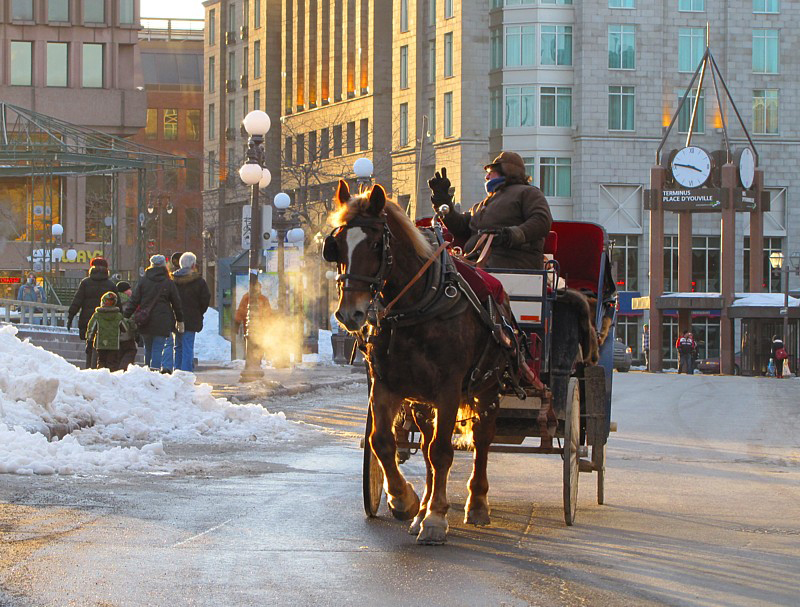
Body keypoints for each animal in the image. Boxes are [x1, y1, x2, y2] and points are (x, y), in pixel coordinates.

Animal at [324, 180, 592, 548]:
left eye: (377, 243)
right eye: (336, 245)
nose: (350, 313)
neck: (419, 304)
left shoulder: (449, 389)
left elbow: (442, 452)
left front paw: (435, 519)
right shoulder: (387, 386)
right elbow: (383, 442)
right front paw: (405, 501)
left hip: (488, 388)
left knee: (481, 440)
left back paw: (476, 504)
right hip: (421, 401)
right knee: (425, 445)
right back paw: (422, 507)